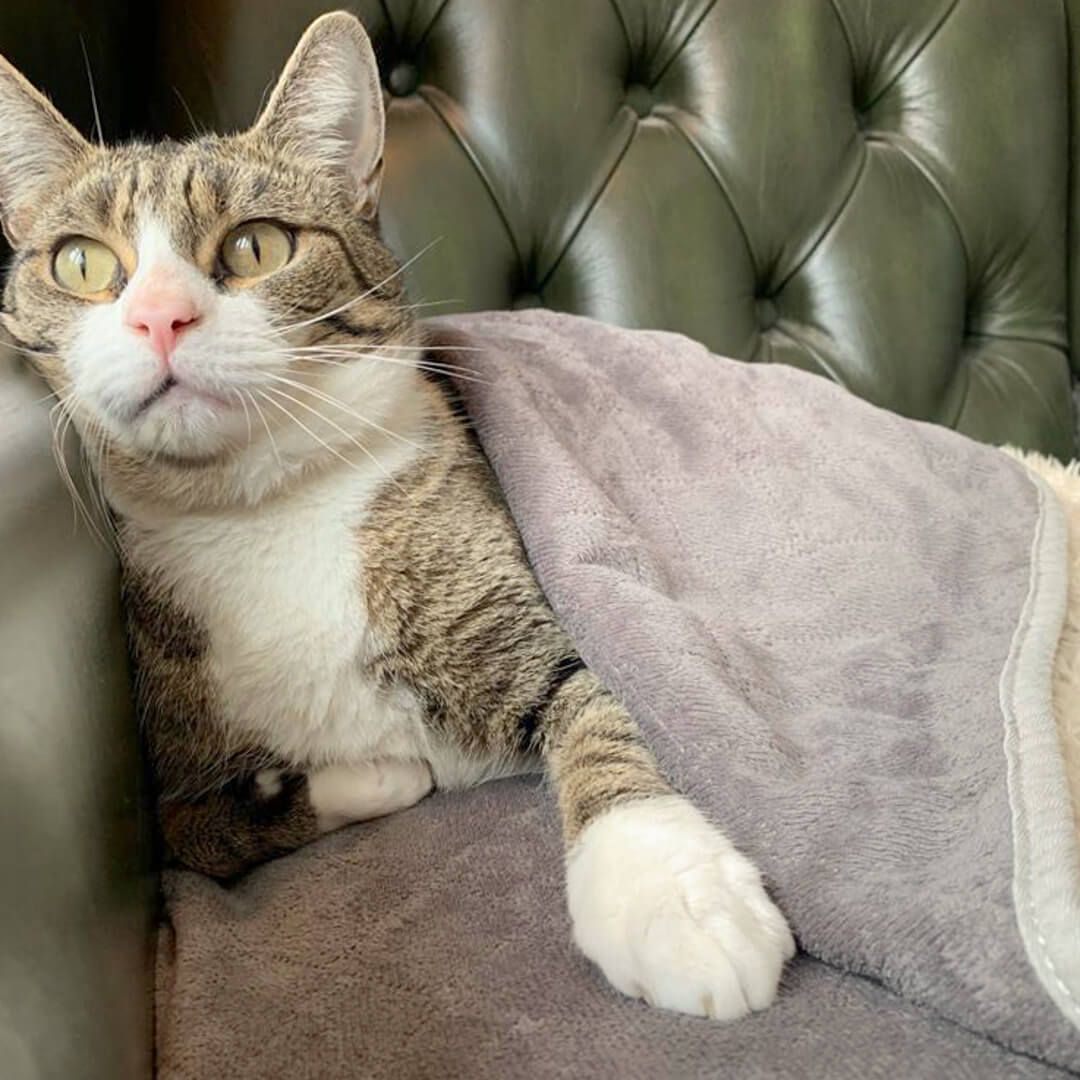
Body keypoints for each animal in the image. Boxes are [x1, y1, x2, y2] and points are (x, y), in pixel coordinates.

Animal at [0, 10, 794, 1019]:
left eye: (257, 247)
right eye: (81, 262)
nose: (161, 318)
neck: (263, 508)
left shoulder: (538, 616)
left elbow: (604, 700)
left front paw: (669, 896)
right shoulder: (169, 752)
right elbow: (194, 833)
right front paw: (362, 778)